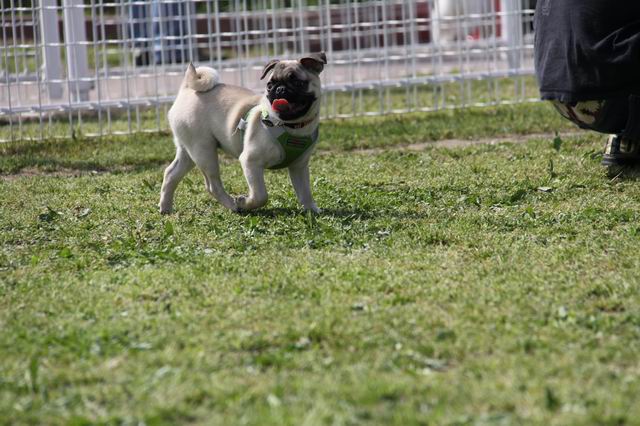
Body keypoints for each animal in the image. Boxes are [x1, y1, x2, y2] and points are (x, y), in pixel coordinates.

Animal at [159, 52, 327, 214]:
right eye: (269, 85)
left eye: (298, 83)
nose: (279, 89)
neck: (292, 126)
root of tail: (187, 89)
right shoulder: (250, 162)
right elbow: (260, 195)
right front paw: (244, 203)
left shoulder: (299, 167)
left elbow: (305, 192)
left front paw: (312, 210)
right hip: (204, 151)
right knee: (212, 185)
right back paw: (233, 205)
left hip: (188, 150)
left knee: (171, 173)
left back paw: (165, 208)